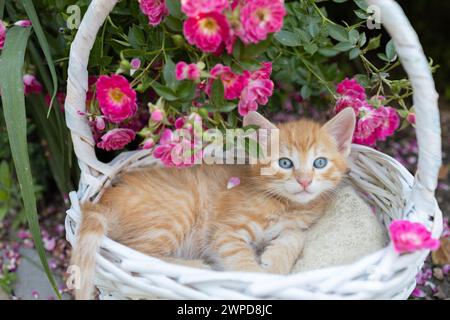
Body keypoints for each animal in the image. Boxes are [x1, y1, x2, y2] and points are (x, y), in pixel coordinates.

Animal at [72, 108, 356, 300]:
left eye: (320, 163)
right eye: (285, 163)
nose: (305, 181)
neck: (286, 204)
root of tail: (105, 199)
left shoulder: (295, 226)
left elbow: (296, 237)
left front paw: (274, 264)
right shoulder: (225, 233)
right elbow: (241, 262)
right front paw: (259, 278)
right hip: (177, 212)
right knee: (135, 259)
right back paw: (195, 268)